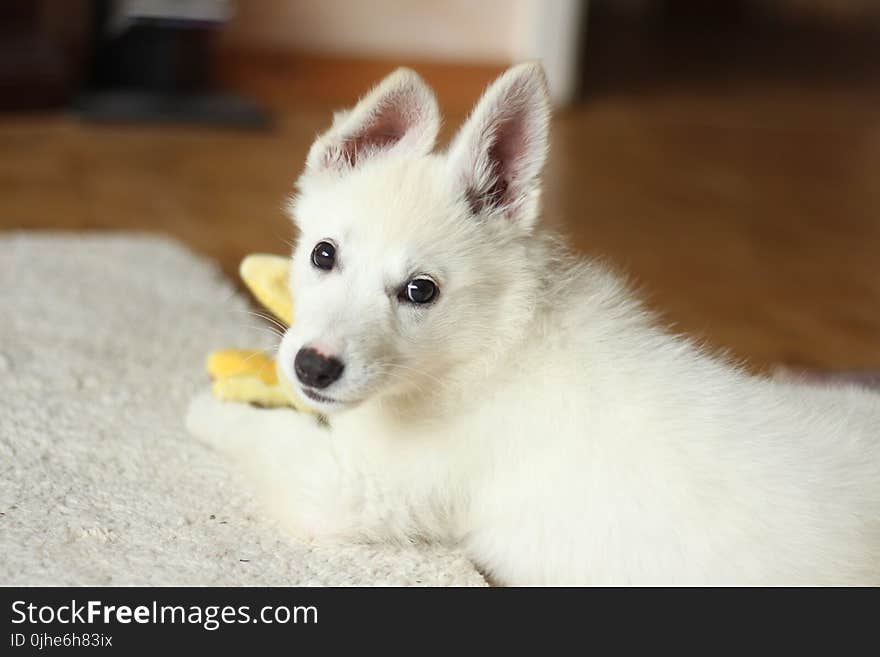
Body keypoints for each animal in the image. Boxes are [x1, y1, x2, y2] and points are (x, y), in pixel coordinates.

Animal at [187, 62, 880, 584]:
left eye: (420, 291)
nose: (312, 367)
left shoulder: (351, 490)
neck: (489, 339)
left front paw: (209, 408)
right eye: (323, 254)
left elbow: (269, 436)